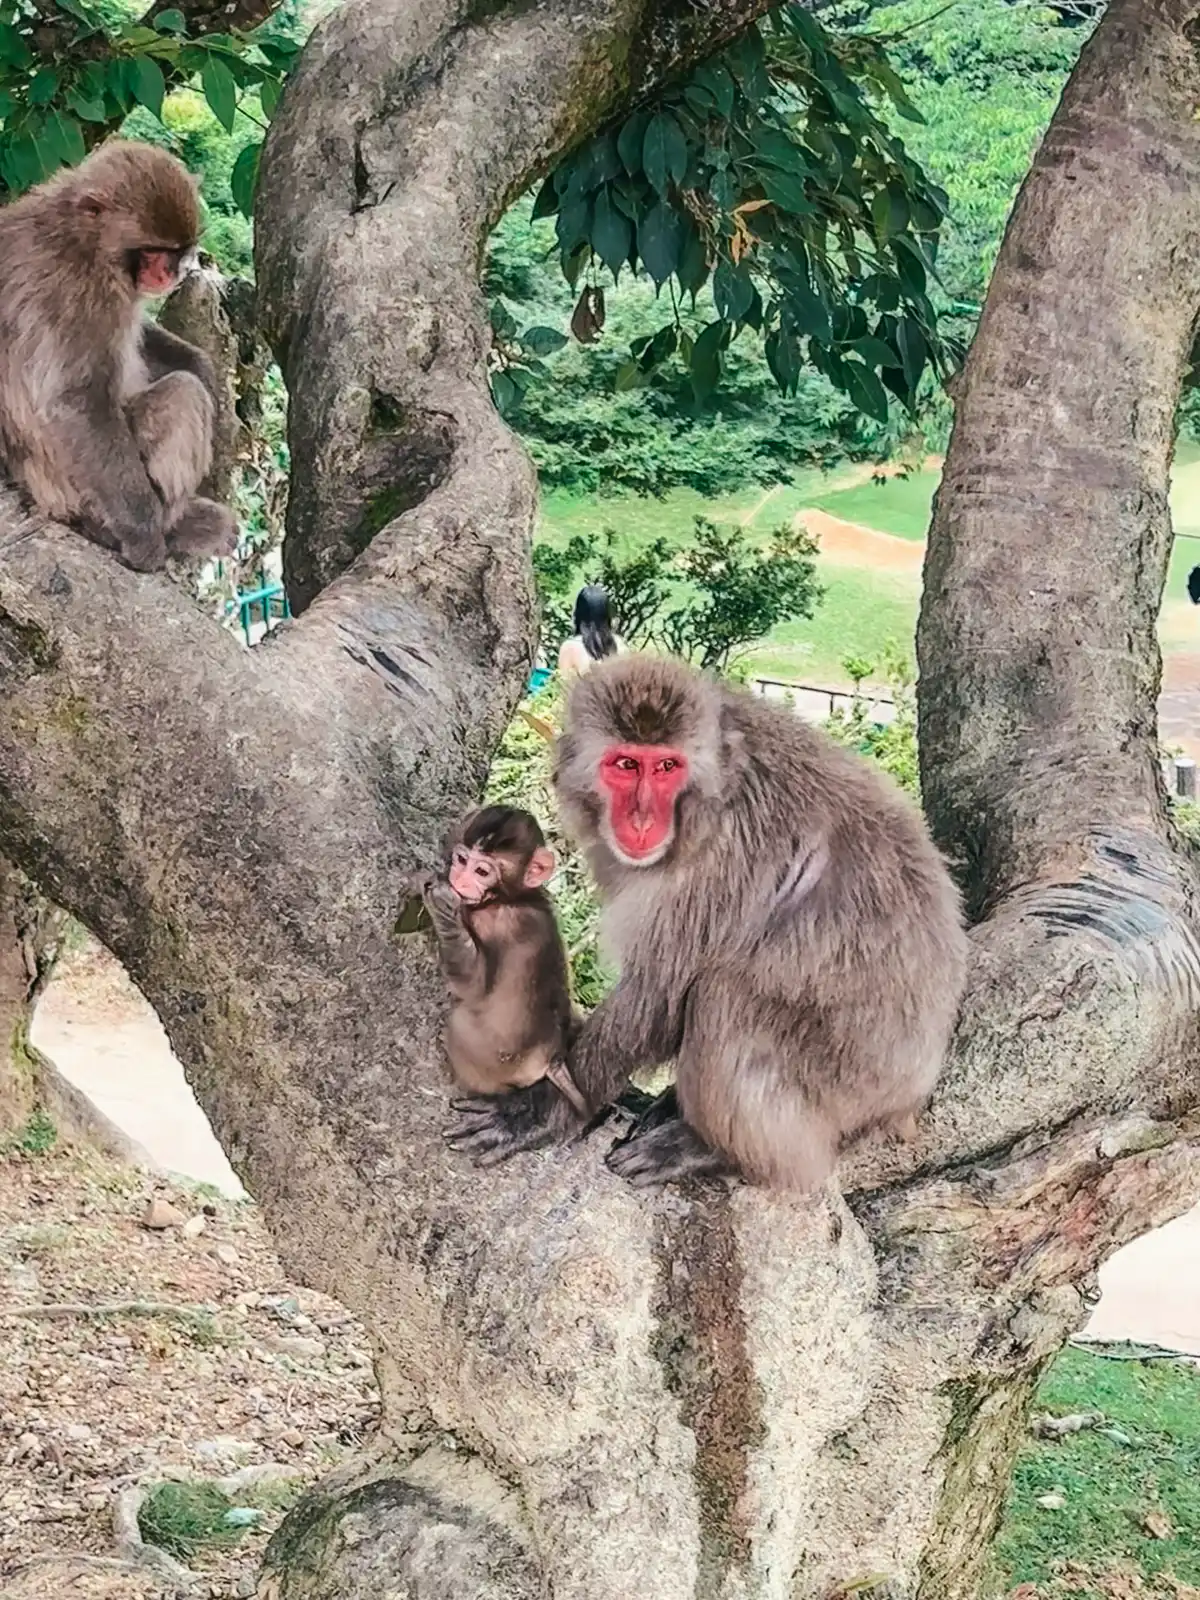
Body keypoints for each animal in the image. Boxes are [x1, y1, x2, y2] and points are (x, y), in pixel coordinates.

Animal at [0, 139, 240, 569]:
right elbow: (77, 402)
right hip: (72, 489)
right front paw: (144, 536)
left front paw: (203, 365)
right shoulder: (82, 292)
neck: (84, 238)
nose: (170, 274)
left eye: (176, 252)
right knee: (181, 394)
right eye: (153, 251)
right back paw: (166, 526)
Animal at [406, 800, 588, 1126]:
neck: (513, 898)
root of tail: (552, 1060)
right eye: (462, 859)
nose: (459, 879)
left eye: (481, 871)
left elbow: (472, 984)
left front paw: (441, 903)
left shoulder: (493, 922)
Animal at [448, 649, 972, 1190]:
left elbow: (658, 990)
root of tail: (909, 1097)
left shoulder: (724, 857)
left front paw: (552, 1105)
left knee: (724, 995)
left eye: (666, 767)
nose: (641, 819)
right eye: (626, 764)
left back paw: (708, 1149)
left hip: (845, 1087)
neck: (711, 791)